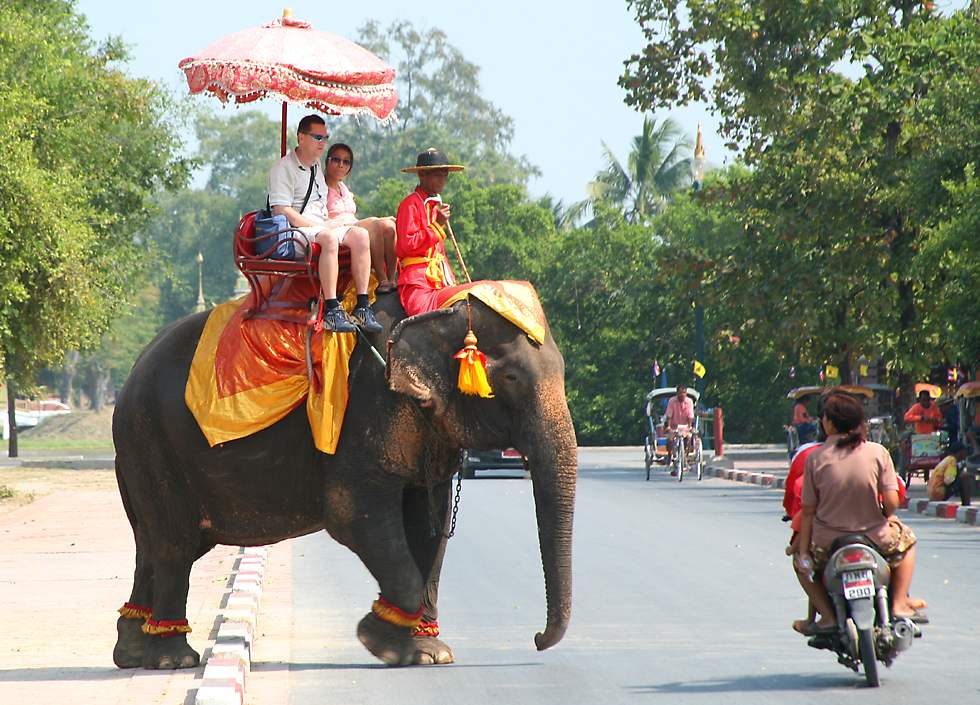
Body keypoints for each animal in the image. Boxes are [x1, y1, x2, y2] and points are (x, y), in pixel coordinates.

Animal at [111, 290, 580, 664]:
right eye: (511, 377)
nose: (537, 639)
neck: (438, 307)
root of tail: (130, 375)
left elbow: (431, 527)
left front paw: (428, 653)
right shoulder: (367, 407)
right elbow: (353, 514)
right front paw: (378, 641)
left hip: (142, 453)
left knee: (153, 545)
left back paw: (134, 653)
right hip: (150, 440)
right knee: (174, 545)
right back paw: (173, 659)